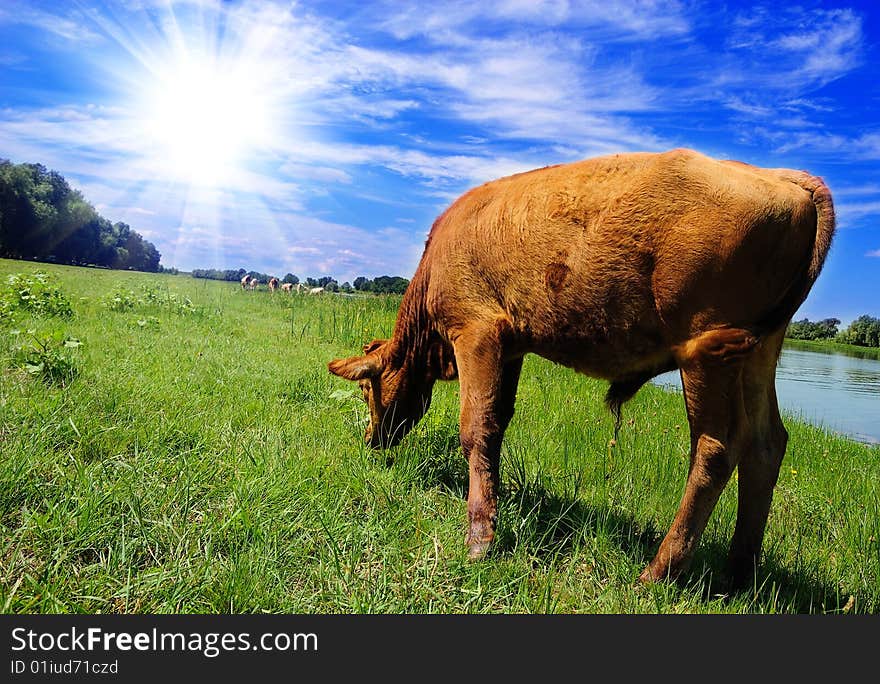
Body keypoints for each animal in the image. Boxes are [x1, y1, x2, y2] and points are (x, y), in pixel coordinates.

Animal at [326, 148, 836, 588]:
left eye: (368, 389)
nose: (373, 441)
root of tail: (785, 178)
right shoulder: (511, 347)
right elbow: (498, 424)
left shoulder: (477, 332)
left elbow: (475, 428)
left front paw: (480, 538)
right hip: (759, 352)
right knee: (765, 444)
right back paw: (737, 574)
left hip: (705, 350)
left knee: (716, 448)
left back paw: (659, 571)